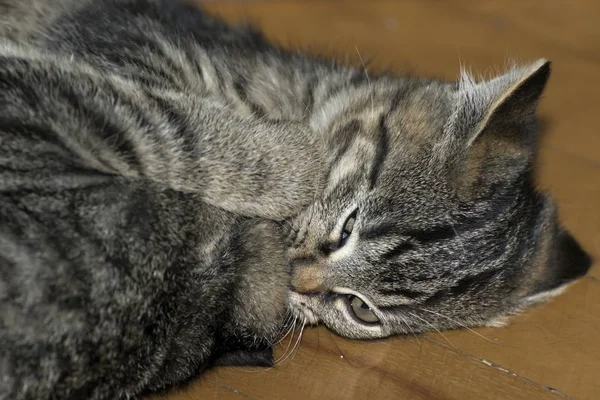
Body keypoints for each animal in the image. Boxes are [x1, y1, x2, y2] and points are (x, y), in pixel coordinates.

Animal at [0, 0, 592, 400]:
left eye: (362, 310)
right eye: (348, 224)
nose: (301, 281)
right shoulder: (120, 49)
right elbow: (171, 123)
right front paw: (293, 162)